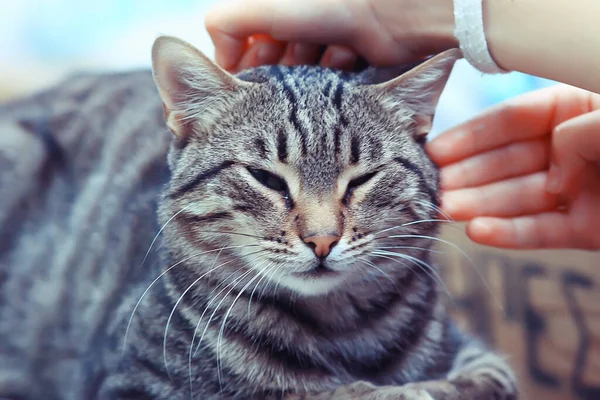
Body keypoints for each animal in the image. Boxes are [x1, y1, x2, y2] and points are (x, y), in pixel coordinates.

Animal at [0, 35, 516, 400]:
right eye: (266, 179)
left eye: (363, 179)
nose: (323, 239)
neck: (341, 329)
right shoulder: (135, 383)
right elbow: (297, 395)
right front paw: (380, 392)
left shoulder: (474, 353)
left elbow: (491, 376)